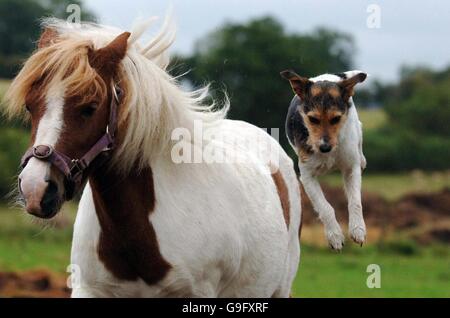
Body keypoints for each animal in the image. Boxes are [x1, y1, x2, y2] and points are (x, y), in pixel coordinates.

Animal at [282, 70, 370, 251]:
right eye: (313, 119)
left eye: (336, 119)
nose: (324, 147)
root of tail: (328, 75)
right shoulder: (307, 176)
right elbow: (325, 207)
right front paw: (335, 236)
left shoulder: (351, 168)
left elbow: (355, 201)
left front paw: (358, 230)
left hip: (354, 126)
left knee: (359, 130)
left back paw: (362, 158)